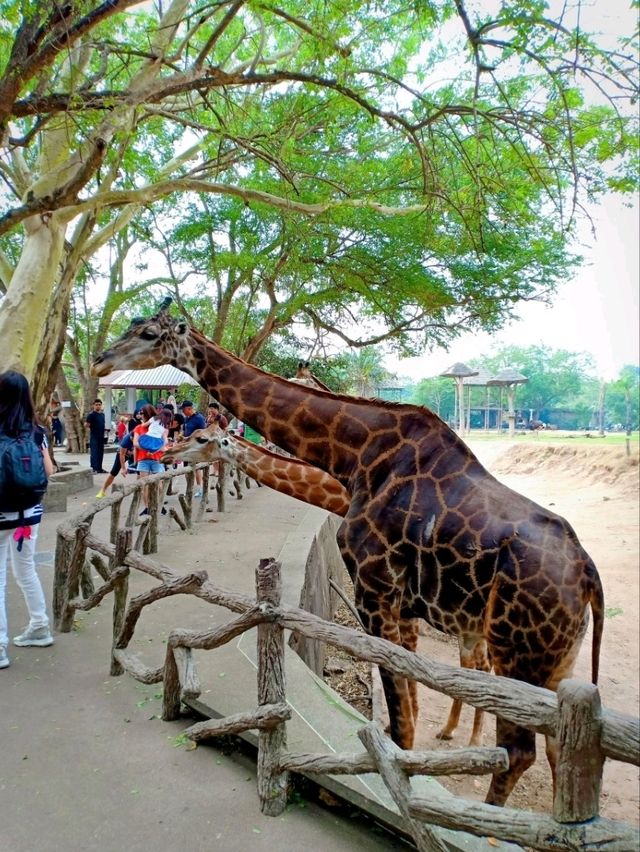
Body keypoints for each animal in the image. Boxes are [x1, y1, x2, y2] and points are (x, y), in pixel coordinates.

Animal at [91, 300, 604, 804]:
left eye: (149, 334)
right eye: (133, 324)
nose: (99, 362)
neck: (353, 458)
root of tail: (589, 578)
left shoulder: (375, 593)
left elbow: (402, 725)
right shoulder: (403, 607)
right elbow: (407, 710)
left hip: (517, 648)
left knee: (517, 750)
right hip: (555, 658)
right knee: (552, 744)